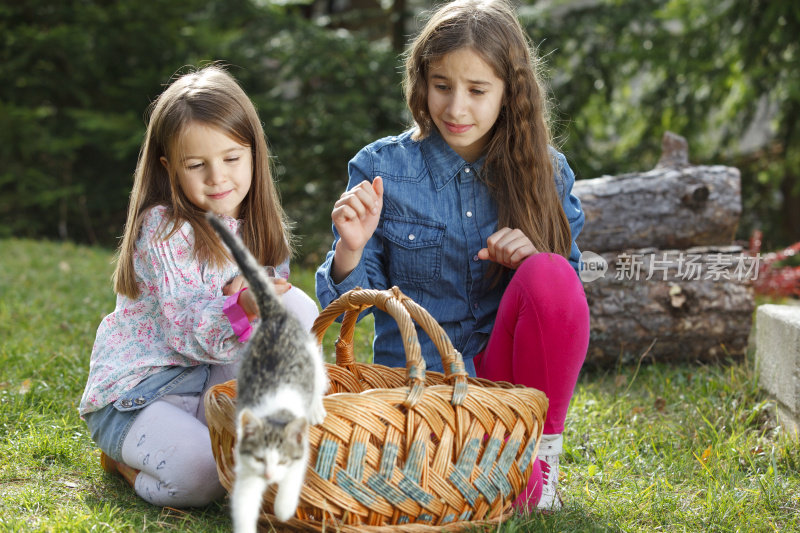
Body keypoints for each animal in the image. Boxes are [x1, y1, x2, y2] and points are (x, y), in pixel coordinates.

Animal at [209, 213, 332, 532]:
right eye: (261, 459)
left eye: (282, 461)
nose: (269, 476)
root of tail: (275, 316)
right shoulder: (245, 463)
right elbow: (244, 502)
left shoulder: (299, 452)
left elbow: (294, 479)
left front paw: (284, 509)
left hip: (312, 355)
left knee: (318, 381)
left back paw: (316, 409)